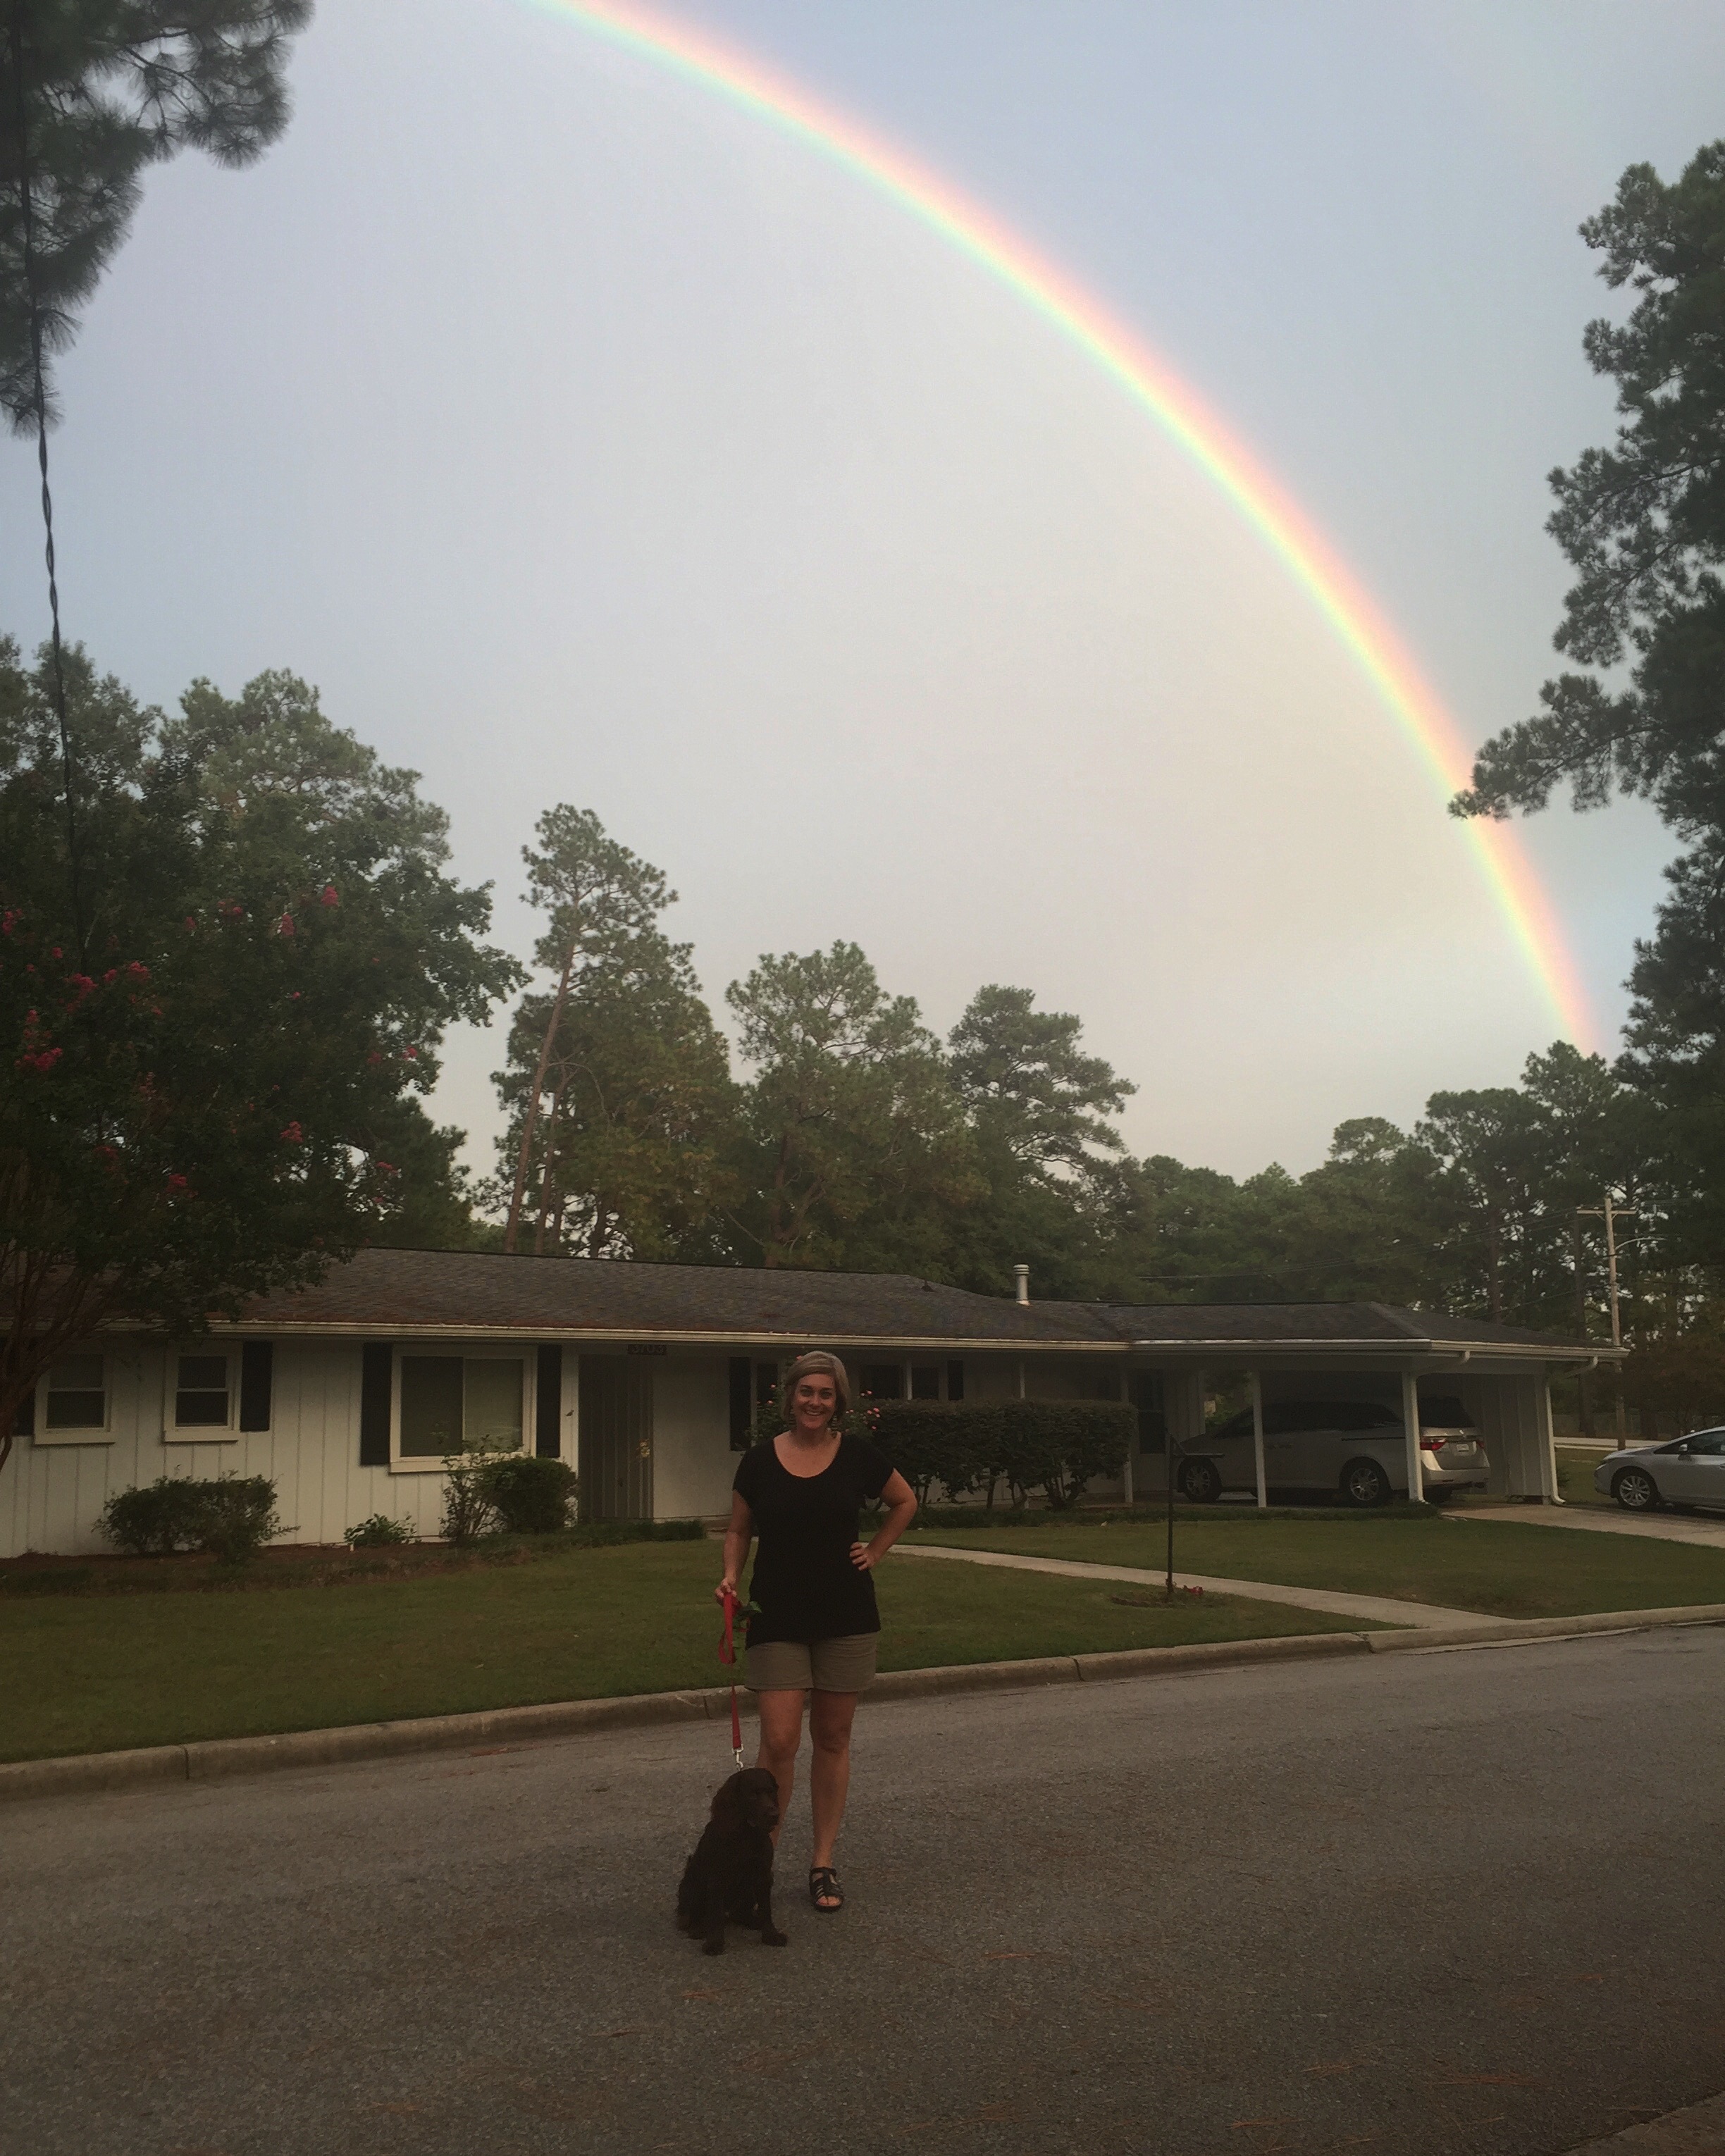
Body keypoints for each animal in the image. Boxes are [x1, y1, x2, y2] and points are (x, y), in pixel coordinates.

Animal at [675, 1767, 788, 1955]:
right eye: (752, 1795)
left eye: (771, 1791)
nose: (774, 1815)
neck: (746, 1834)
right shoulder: (717, 1879)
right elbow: (715, 1915)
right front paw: (714, 1943)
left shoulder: (763, 1876)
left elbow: (766, 1909)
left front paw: (771, 1935)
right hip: (692, 1885)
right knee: (690, 1916)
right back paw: (698, 1928)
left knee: (739, 1913)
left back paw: (753, 1921)